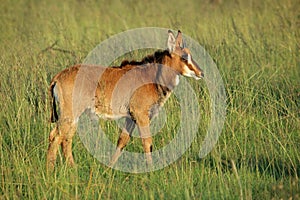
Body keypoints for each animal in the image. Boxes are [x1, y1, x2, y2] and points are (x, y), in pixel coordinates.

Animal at [47, 30, 204, 170]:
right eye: (184, 57)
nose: (201, 73)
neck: (152, 76)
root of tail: (58, 77)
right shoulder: (141, 115)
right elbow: (147, 141)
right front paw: (151, 169)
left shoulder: (130, 118)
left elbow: (122, 141)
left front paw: (109, 167)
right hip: (70, 114)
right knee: (56, 136)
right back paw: (50, 170)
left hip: (74, 117)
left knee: (66, 138)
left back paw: (72, 168)